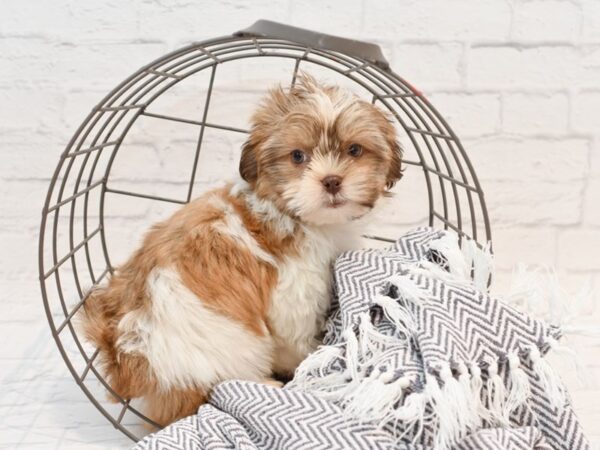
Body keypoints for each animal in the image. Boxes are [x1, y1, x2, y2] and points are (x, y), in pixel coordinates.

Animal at [78, 74, 398, 426]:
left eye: (354, 150)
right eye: (297, 156)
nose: (331, 181)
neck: (291, 214)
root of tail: (130, 359)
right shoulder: (293, 294)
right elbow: (297, 338)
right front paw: (308, 361)